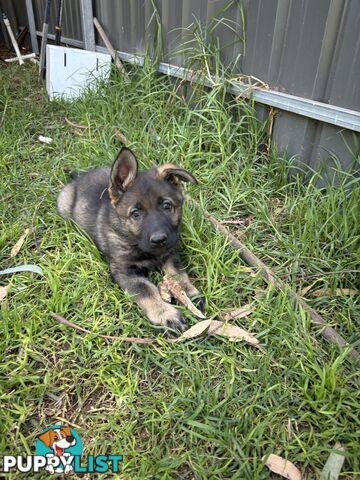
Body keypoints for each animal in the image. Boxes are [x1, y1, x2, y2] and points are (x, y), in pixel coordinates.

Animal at [57, 148, 204, 336]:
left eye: (166, 206)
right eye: (135, 214)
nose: (159, 240)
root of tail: (79, 177)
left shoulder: (171, 252)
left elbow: (177, 273)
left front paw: (188, 293)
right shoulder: (124, 271)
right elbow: (146, 290)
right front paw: (166, 314)